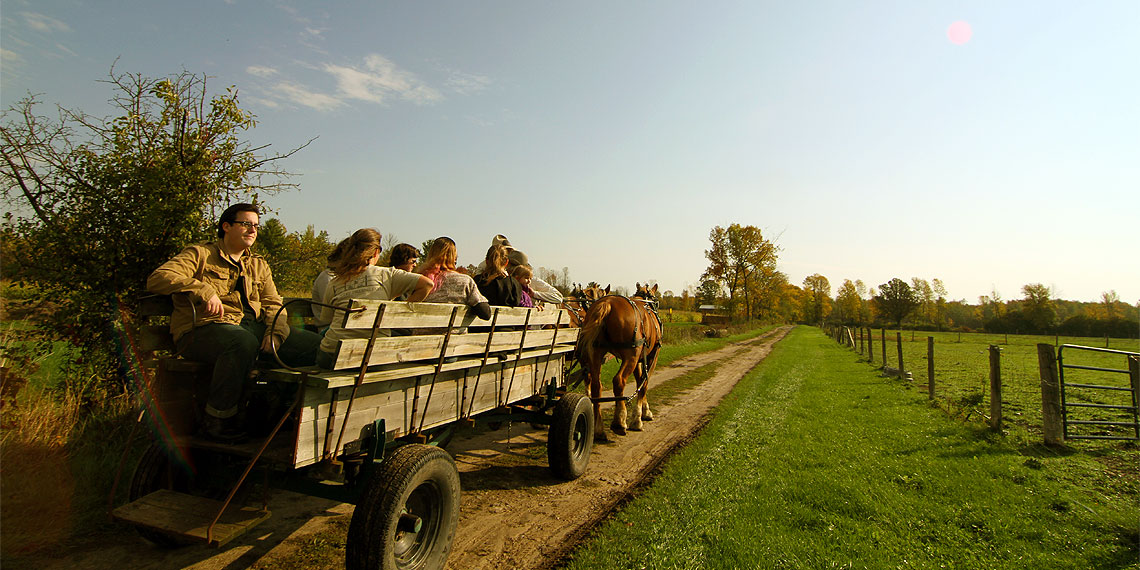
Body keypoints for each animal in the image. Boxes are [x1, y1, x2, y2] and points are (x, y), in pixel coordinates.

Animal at [574, 283, 665, 440]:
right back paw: (620, 422)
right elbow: (644, 383)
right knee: (619, 381)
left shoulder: (639, 358)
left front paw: (641, 411)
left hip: (596, 353)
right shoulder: (652, 355)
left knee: (597, 386)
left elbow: (639, 380)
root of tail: (607, 304)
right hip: (630, 356)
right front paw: (640, 417)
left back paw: (599, 429)